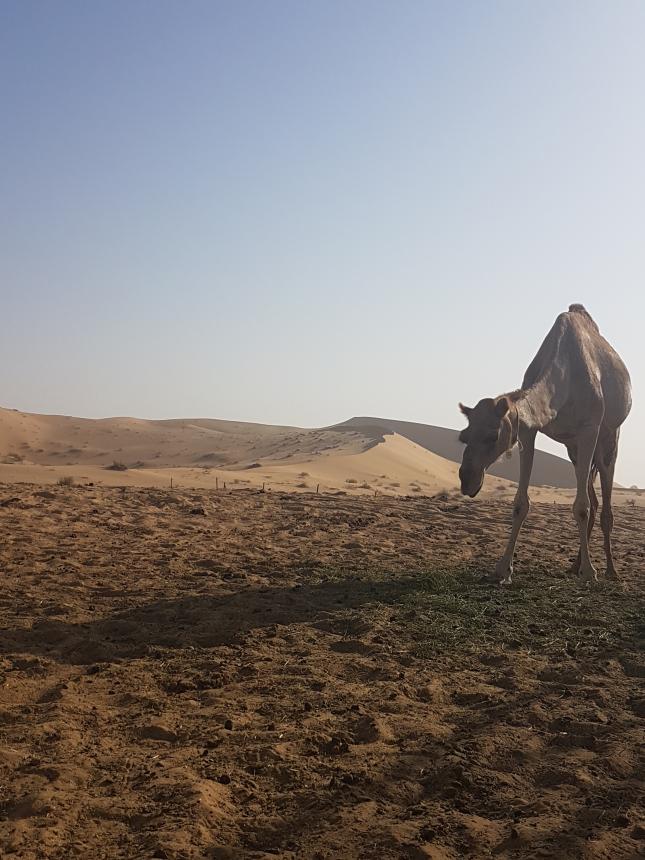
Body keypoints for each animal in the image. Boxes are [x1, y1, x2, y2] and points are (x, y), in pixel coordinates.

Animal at [458, 304, 631, 583]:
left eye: (492, 437)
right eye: (464, 436)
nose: (467, 480)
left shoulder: (589, 429)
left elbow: (581, 507)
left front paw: (590, 572)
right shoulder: (528, 432)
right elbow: (521, 503)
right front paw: (503, 569)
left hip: (609, 437)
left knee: (605, 496)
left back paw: (610, 570)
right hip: (574, 449)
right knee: (593, 498)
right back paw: (574, 565)